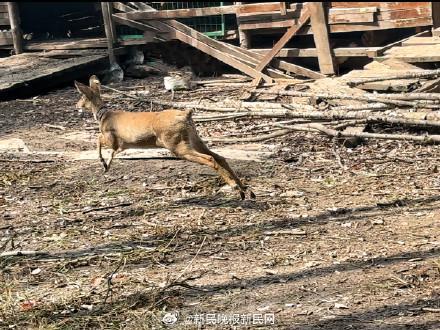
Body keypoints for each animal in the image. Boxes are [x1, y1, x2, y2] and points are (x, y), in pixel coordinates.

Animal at [74, 75, 256, 200]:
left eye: (82, 97)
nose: (76, 106)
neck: (103, 116)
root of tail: (186, 114)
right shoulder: (120, 145)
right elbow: (109, 150)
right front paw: (107, 165)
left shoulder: (112, 139)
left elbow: (98, 139)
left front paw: (104, 164)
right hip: (194, 138)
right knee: (219, 156)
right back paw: (245, 190)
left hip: (176, 143)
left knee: (210, 158)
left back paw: (235, 187)